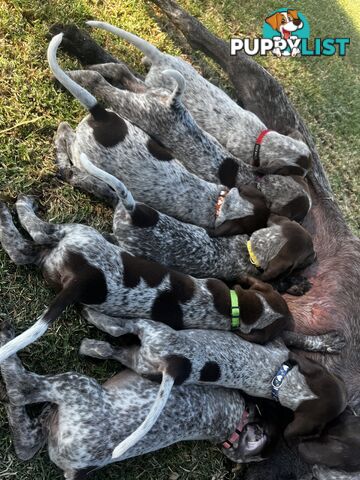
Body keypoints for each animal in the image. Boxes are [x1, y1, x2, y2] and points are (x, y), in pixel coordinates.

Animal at [0, 196, 292, 364]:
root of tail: (82, 279)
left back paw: (17, 208)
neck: (241, 308)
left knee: (30, 239)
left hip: (79, 236)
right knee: (26, 246)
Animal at [78, 316, 346, 460]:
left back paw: (92, 333)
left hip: (146, 347)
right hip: (150, 340)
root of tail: (172, 364)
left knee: (116, 336)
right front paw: (329, 342)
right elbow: (298, 337)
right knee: (118, 334)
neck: (281, 381)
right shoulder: (278, 343)